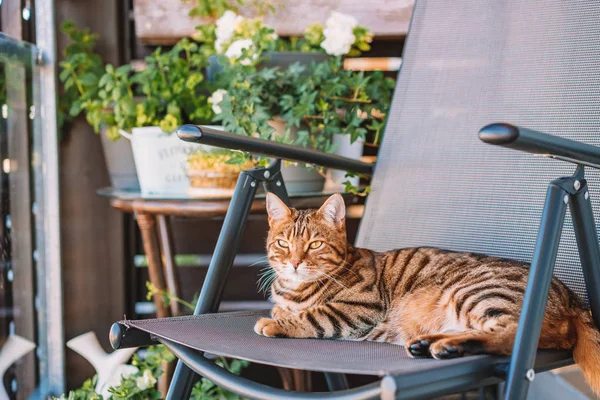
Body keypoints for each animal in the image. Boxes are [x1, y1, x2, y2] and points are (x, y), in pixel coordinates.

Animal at [254, 193, 600, 394]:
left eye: (315, 245)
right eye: (283, 244)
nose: (295, 262)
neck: (293, 289)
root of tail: (573, 297)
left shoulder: (359, 308)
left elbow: (312, 316)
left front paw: (276, 322)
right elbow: (288, 310)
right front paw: (279, 312)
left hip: (475, 293)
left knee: (511, 334)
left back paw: (444, 346)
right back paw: (430, 344)